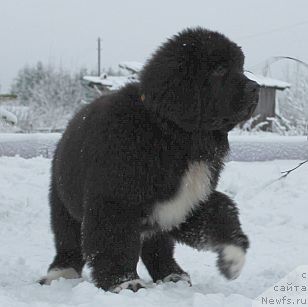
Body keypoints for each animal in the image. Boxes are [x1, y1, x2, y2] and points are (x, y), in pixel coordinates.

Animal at [39, 27, 258, 292]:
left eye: (240, 67)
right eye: (219, 69)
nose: (256, 88)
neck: (173, 134)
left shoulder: (187, 200)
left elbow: (222, 212)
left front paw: (233, 259)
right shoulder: (115, 201)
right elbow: (114, 243)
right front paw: (124, 282)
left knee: (158, 247)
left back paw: (173, 275)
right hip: (64, 203)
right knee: (68, 241)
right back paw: (61, 274)